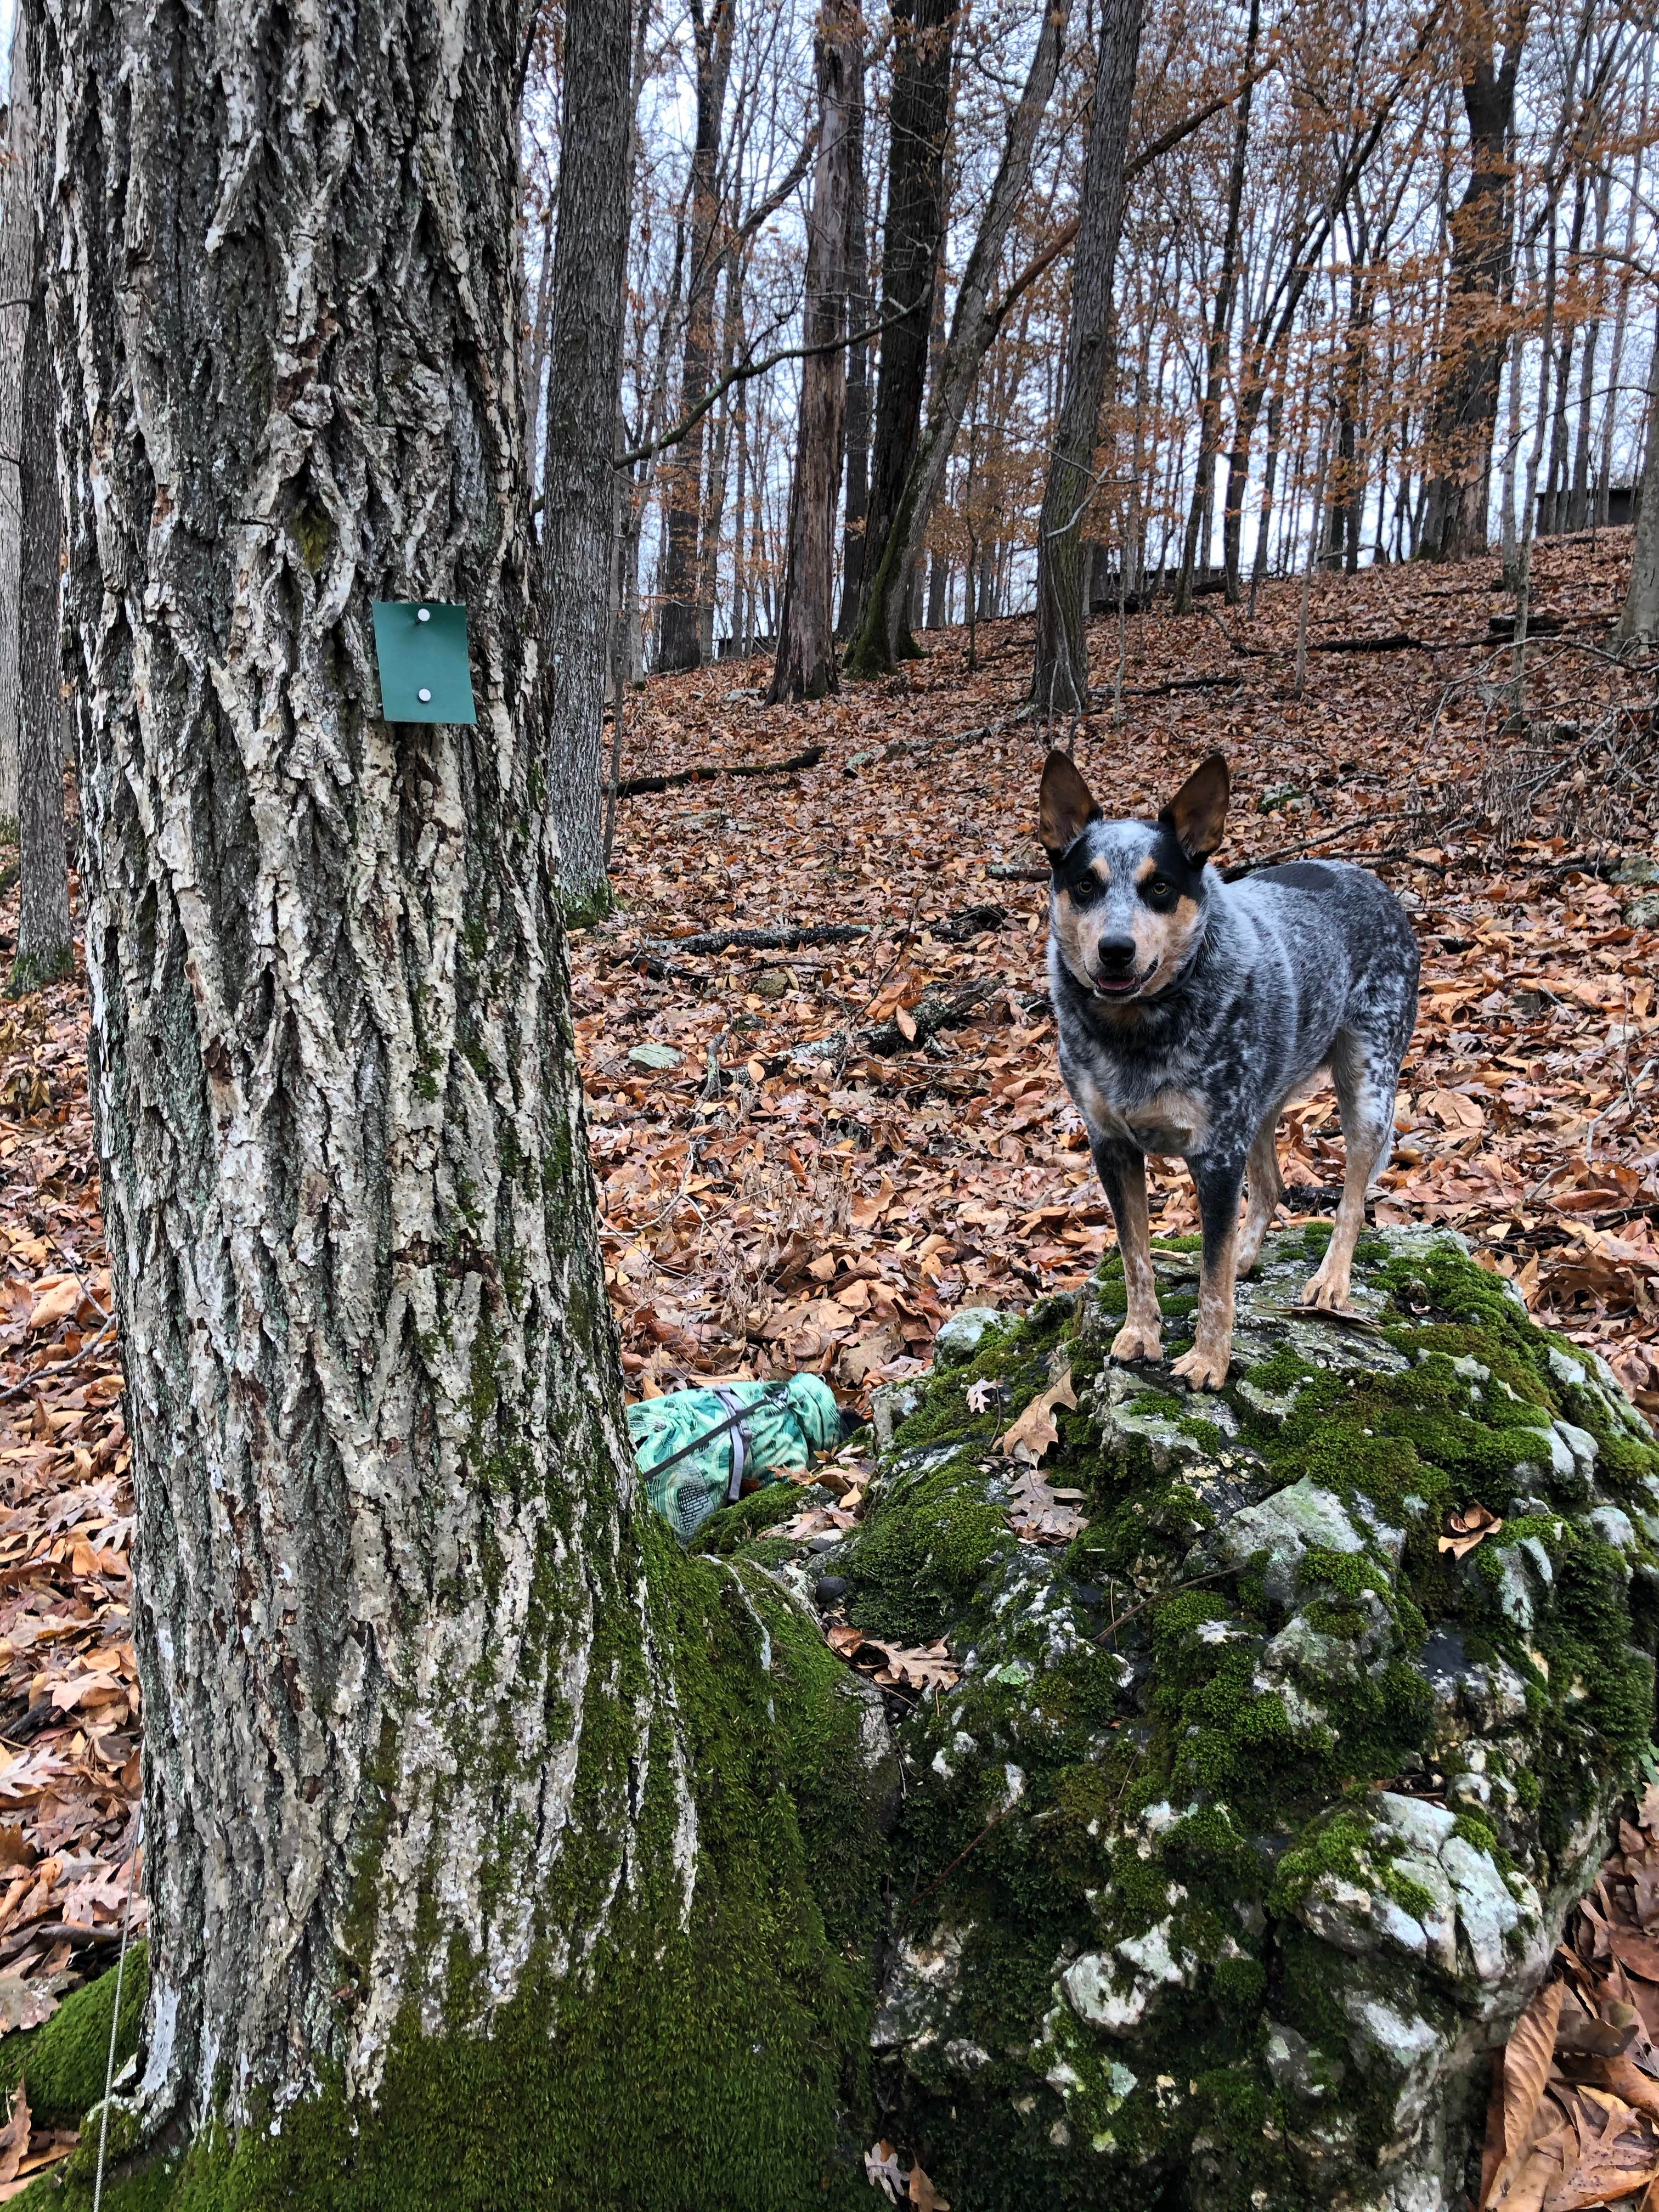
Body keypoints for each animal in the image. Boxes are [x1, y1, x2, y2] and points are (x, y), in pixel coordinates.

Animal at [1044, 752, 1424, 1389]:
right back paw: (1249, 1255)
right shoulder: (1111, 1146)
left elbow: (1212, 1280)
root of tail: (1372, 880)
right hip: (1261, 1101)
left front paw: (1208, 1360)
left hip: (1368, 1085)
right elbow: (1136, 1255)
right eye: (1085, 884)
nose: (1116, 950)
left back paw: (1331, 1279)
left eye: (1161, 887)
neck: (1136, 1032)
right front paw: (1141, 1332)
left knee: (1353, 1195)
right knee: (1270, 1187)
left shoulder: (1216, 1155)